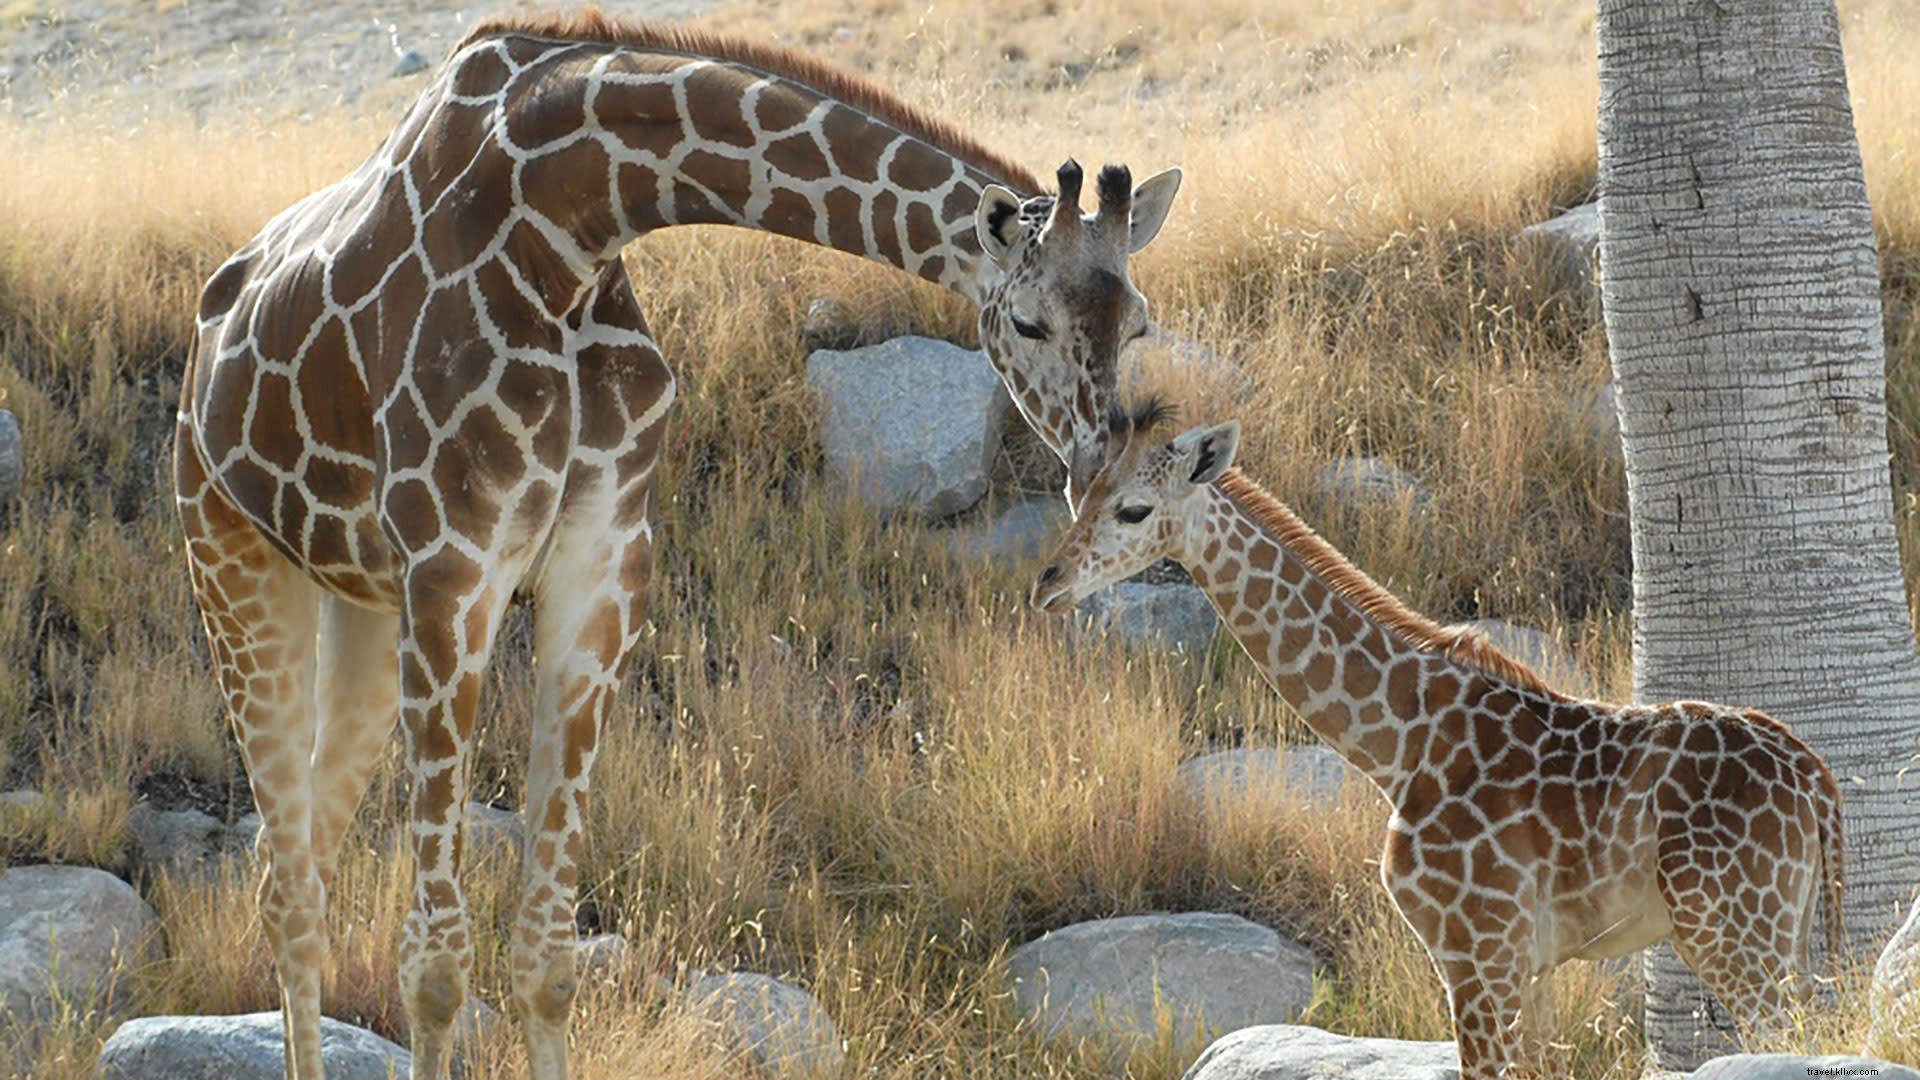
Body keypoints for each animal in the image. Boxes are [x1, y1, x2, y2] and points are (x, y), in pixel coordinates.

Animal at [172, 10, 1180, 1079]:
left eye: (1139, 323)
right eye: (1026, 320)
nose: (1094, 469)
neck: (568, 226)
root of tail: (204, 336)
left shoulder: (602, 571)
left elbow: (546, 955)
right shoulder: (454, 572)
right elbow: (435, 967)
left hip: (361, 606)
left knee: (298, 858)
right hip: (230, 556)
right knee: (287, 885)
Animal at [1031, 403, 1847, 1079]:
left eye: (1134, 510)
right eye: (1078, 497)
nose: (1048, 583)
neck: (1399, 746)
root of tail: (1817, 781)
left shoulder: (1476, 946)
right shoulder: (1526, 963)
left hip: (1732, 929)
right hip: (1782, 926)